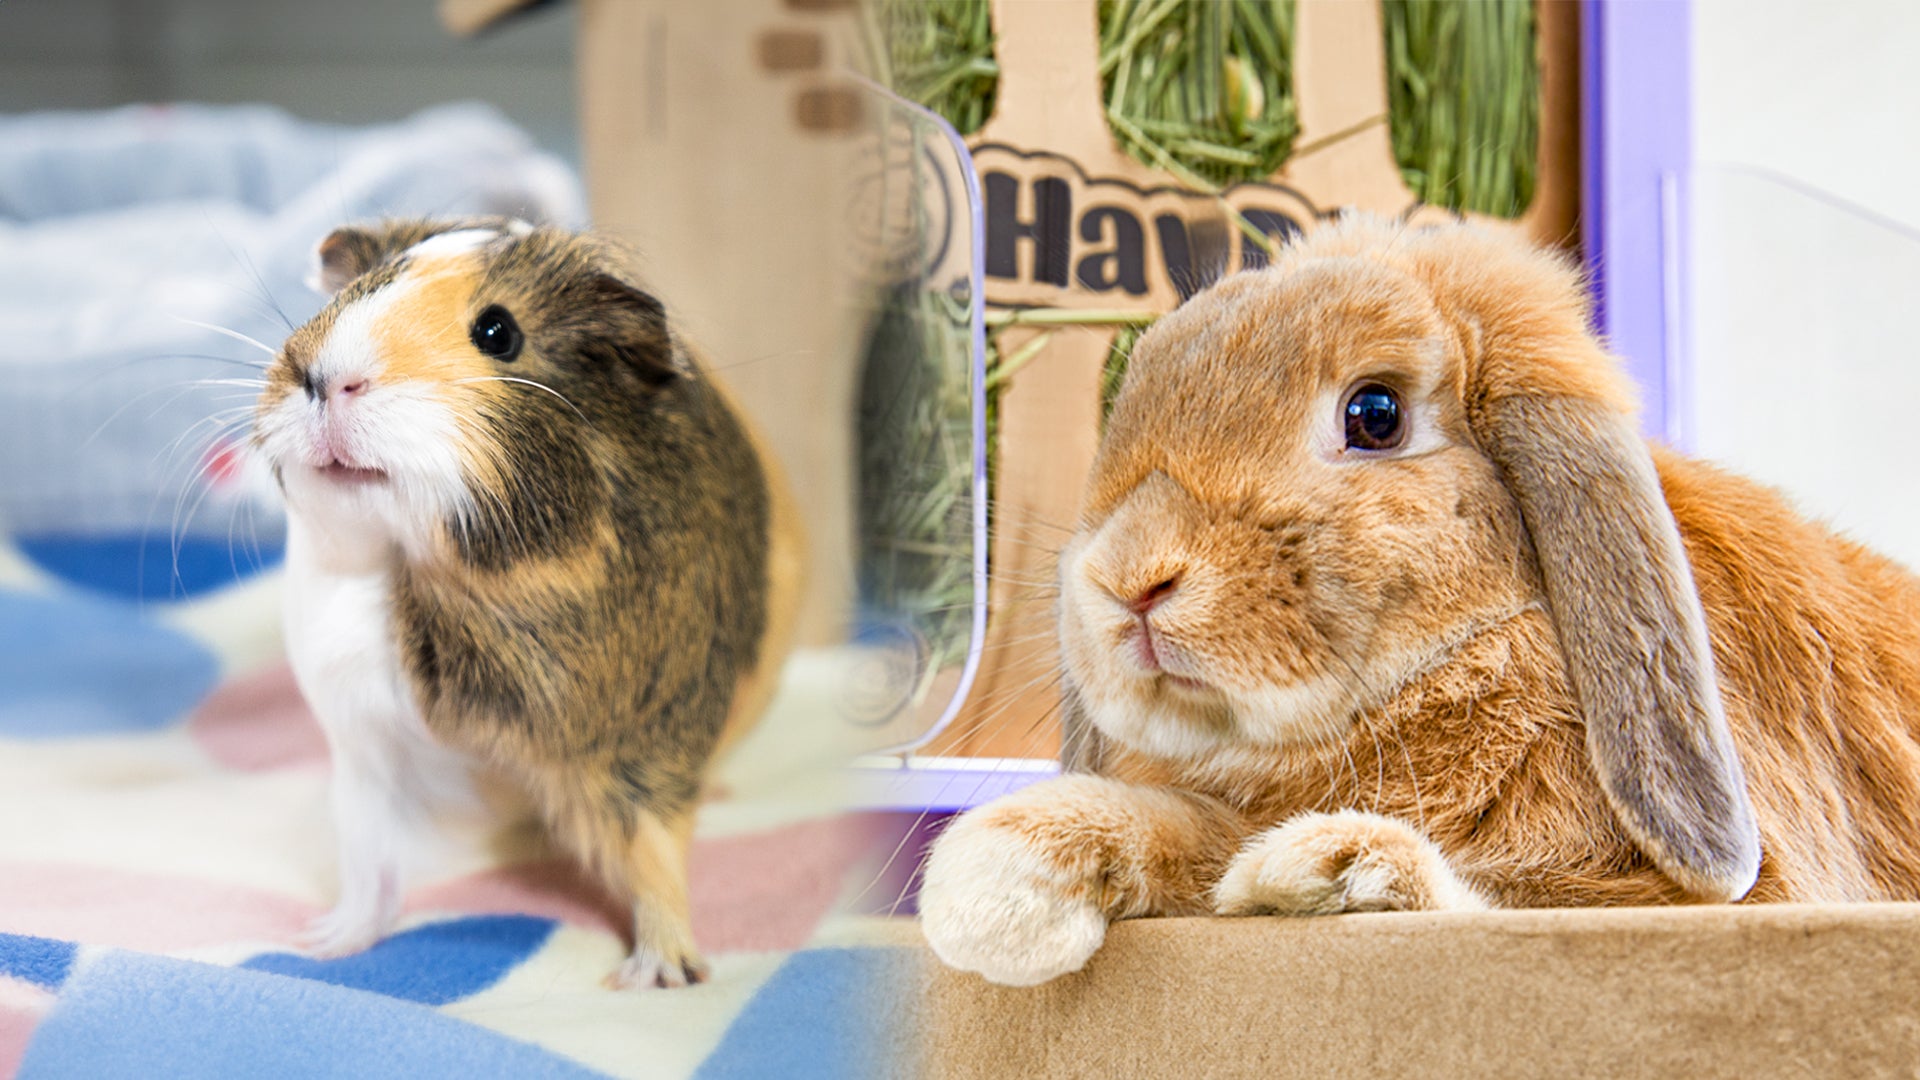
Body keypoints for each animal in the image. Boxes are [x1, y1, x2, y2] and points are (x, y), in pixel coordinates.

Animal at [252, 217, 804, 988]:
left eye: (498, 331)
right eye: (355, 289)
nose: (325, 377)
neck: (415, 578)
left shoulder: (642, 747)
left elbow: (655, 858)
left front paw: (656, 977)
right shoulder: (365, 753)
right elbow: (367, 865)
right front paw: (324, 943)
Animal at [917, 214, 1920, 987]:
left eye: (1374, 415)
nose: (1129, 580)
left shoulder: (1710, 896)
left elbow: (1492, 901)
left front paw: (1334, 869)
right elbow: (1196, 829)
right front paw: (998, 881)